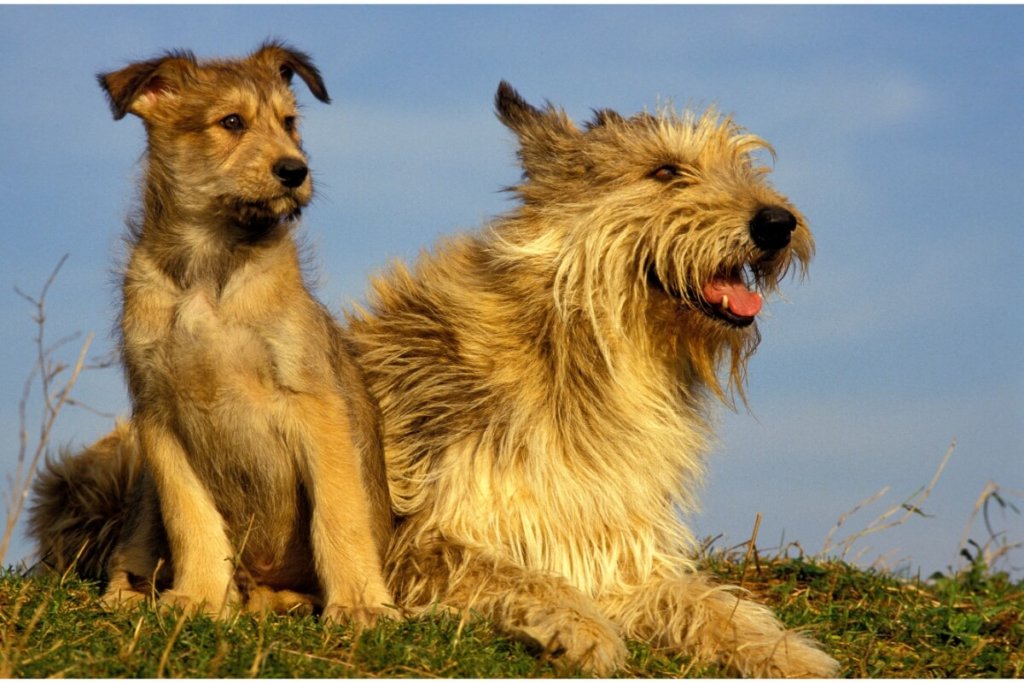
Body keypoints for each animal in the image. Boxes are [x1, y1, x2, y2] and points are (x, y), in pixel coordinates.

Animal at [28, 42, 393, 626]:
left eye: (289, 123)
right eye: (232, 122)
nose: (295, 171)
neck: (209, 266)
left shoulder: (316, 405)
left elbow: (339, 512)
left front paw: (360, 603)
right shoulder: (159, 417)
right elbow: (191, 519)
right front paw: (199, 597)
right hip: (141, 496)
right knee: (136, 547)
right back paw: (132, 595)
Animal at [344, 82, 839, 675]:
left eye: (744, 165)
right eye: (666, 171)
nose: (777, 223)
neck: (584, 351)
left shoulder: (616, 551)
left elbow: (705, 602)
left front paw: (784, 652)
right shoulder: (418, 539)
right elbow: (517, 574)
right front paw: (580, 626)